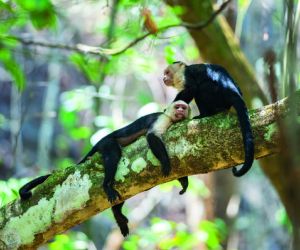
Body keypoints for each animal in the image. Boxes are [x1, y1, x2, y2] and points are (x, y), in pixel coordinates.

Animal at [19, 100, 190, 236]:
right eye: (178, 107)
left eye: (184, 107)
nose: (181, 111)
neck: (171, 119)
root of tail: (99, 141)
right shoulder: (163, 118)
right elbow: (152, 136)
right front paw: (166, 162)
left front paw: (183, 181)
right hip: (107, 143)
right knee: (113, 155)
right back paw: (106, 185)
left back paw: (118, 214)